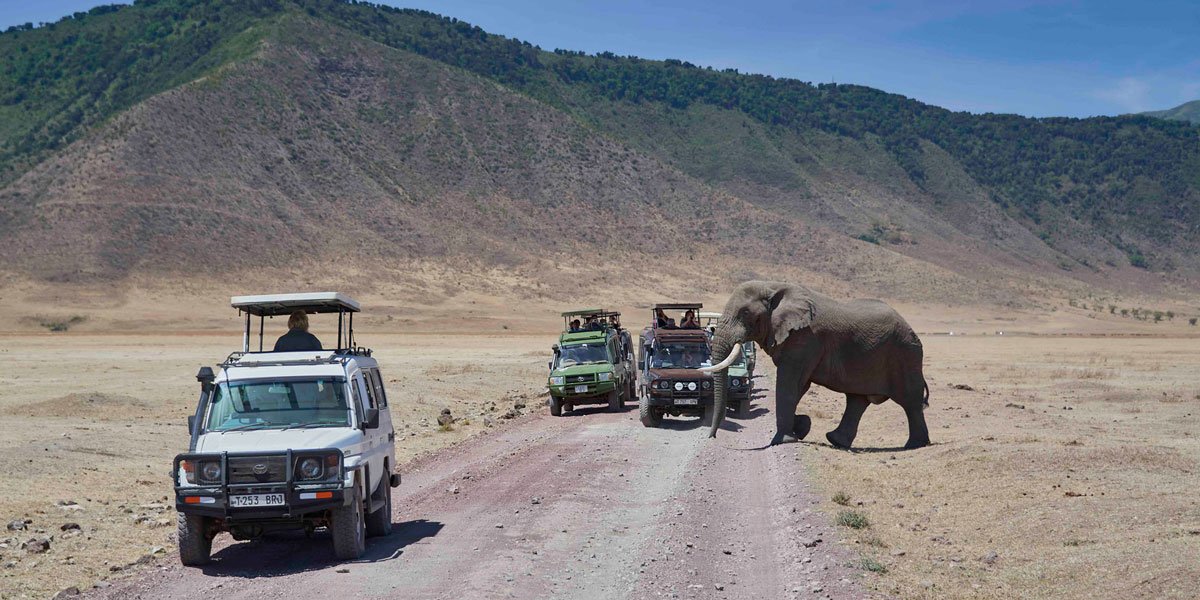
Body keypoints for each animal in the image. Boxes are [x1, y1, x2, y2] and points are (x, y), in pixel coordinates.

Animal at [700, 282, 931, 451]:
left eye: (745, 313)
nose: (713, 437)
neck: (773, 287)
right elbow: (799, 387)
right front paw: (801, 427)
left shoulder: (804, 339)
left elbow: (789, 385)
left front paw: (784, 440)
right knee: (857, 400)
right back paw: (836, 440)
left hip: (905, 354)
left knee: (910, 401)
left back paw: (915, 445)